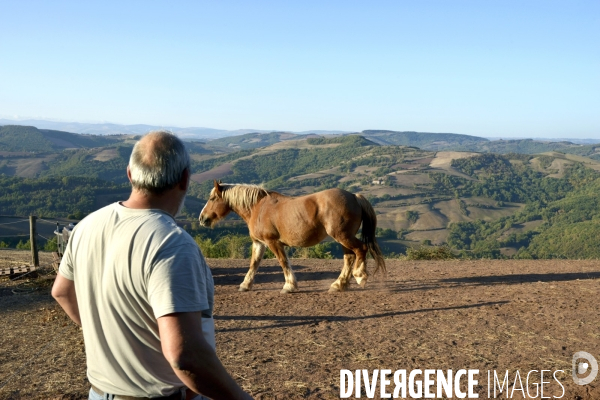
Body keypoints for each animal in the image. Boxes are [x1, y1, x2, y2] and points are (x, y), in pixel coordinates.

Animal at [199, 181, 386, 294]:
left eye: (212, 198)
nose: (202, 218)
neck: (258, 207)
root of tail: (354, 196)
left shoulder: (272, 242)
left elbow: (283, 262)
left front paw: (289, 286)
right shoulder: (259, 243)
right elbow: (254, 264)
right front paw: (245, 284)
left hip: (343, 236)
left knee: (361, 249)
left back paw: (360, 276)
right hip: (342, 238)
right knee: (349, 257)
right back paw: (338, 285)